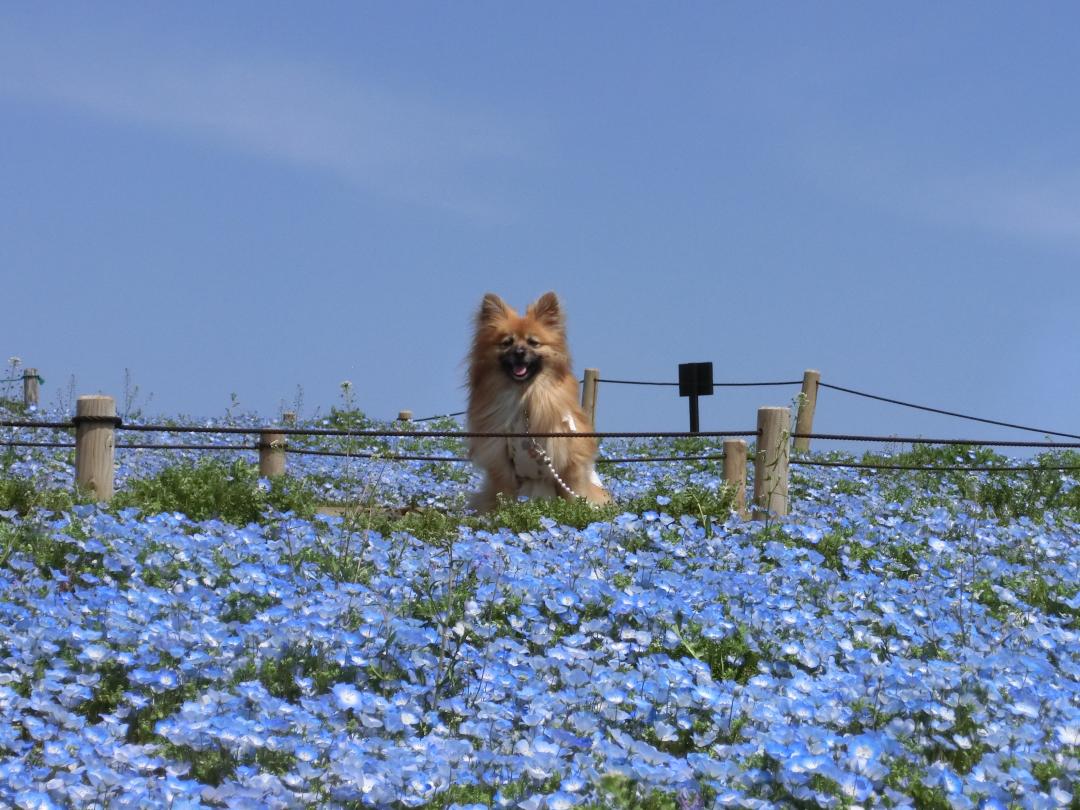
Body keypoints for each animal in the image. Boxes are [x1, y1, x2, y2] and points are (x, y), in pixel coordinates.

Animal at [468, 289, 613, 514]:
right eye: (507, 343)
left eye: (533, 343)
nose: (519, 352)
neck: (525, 398)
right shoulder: (501, 465)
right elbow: (505, 497)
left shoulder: (567, 465)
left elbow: (571, 496)